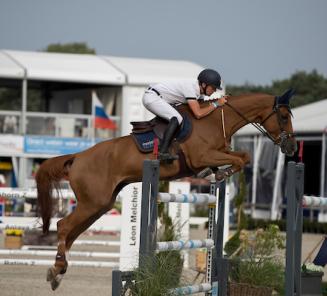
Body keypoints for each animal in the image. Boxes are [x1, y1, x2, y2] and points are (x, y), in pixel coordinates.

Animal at [37, 89, 298, 290]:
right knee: (64, 226)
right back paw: (57, 269)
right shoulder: (202, 155)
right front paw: (221, 173)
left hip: (100, 205)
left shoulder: (216, 153)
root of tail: (78, 157)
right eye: (284, 116)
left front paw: (217, 174)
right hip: (93, 202)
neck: (215, 121)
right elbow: (241, 159)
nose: (292, 147)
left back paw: (57, 272)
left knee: (71, 233)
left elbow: (243, 156)